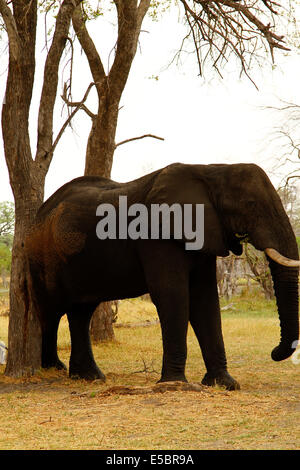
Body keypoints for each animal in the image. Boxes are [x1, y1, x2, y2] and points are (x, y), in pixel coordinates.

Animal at [25, 162, 300, 390]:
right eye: (251, 205)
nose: (275, 352)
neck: (211, 170)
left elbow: (205, 298)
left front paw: (225, 384)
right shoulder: (156, 235)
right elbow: (172, 295)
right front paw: (174, 383)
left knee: (81, 312)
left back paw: (89, 377)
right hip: (42, 258)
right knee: (51, 311)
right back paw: (53, 369)